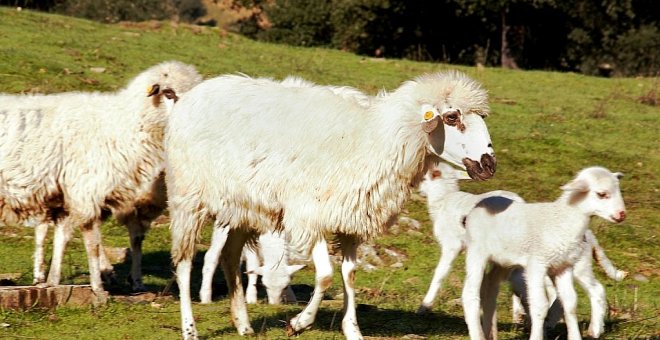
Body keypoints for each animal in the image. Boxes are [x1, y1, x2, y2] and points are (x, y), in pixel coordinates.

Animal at [0, 61, 202, 294]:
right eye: (169, 92)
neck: (124, 125)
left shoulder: (71, 195)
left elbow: (63, 237)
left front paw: (53, 281)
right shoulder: (86, 191)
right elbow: (92, 243)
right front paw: (98, 287)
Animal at [164, 70, 496, 338]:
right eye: (452, 117)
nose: (488, 164)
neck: (378, 139)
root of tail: (194, 94)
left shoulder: (351, 219)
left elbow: (349, 275)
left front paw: (352, 330)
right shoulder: (311, 214)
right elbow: (324, 276)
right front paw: (299, 323)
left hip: (243, 207)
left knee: (230, 257)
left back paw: (243, 325)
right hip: (187, 196)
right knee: (184, 262)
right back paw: (189, 328)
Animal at [462, 167, 628, 340]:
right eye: (601, 194)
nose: (622, 214)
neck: (562, 220)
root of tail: (478, 206)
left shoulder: (563, 266)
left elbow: (570, 303)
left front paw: (574, 336)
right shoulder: (536, 264)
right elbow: (539, 305)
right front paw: (537, 335)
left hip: (503, 261)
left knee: (489, 287)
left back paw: (489, 332)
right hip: (477, 252)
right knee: (470, 293)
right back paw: (478, 334)